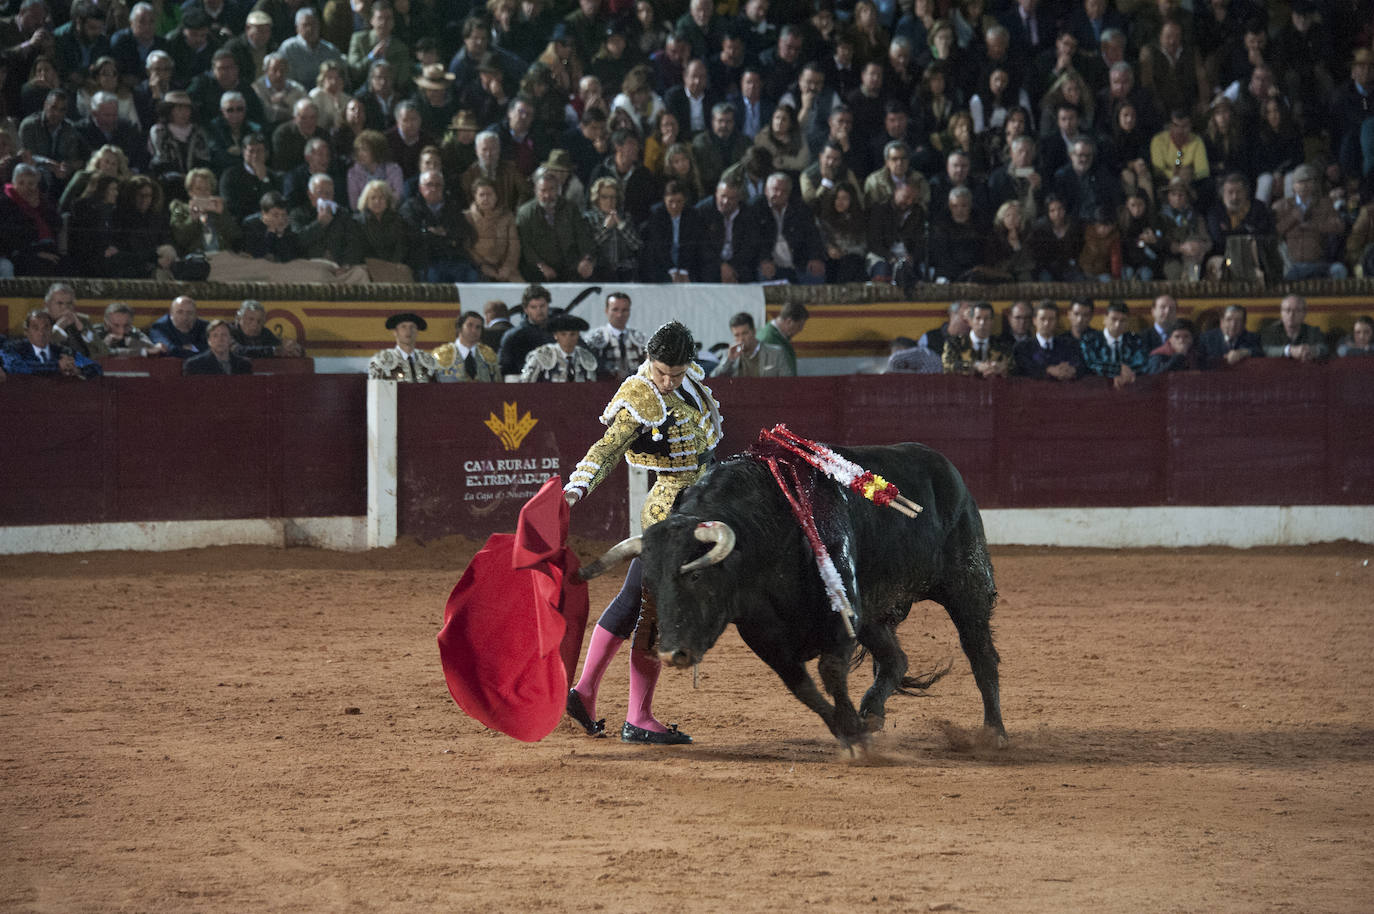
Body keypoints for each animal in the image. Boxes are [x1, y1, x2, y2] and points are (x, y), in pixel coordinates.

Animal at [579, 442, 1011, 747]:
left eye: (697, 576)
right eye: (651, 580)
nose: (672, 653)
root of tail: (945, 466)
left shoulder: (841, 616)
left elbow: (830, 673)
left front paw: (854, 733)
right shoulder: (767, 635)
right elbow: (802, 687)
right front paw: (851, 731)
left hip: (967, 584)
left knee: (980, 654)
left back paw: (994, 734)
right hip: (874, 616)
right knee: (895, 660)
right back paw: (872, 713)